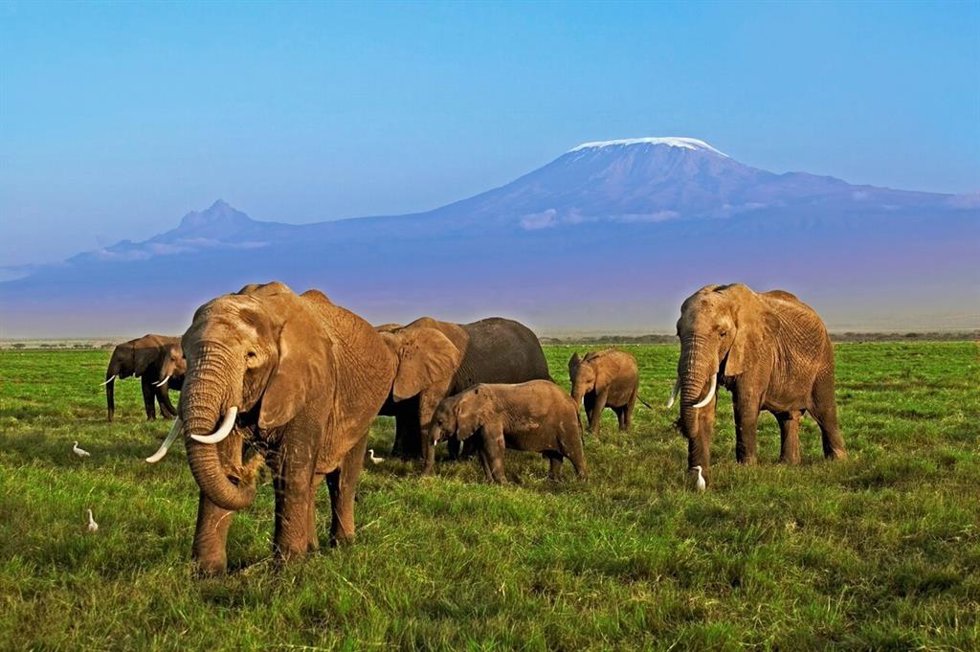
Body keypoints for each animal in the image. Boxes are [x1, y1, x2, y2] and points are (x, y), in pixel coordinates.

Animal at [144, 282, 395, 575]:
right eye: (185, 355)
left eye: (250, 356)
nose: (245, 472)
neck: (263, 306)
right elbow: (221, 454)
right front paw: (207, 574)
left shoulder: (312, 384)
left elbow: (291, 465)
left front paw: (287, 571)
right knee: (313, 480)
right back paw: (312, 549)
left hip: (364, 408)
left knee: (343, 477)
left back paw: (342, 546)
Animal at [429, 380, 587, 483]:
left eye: (440, 422)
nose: (427, 476)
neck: (460, 398)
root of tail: (572, 401)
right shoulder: (481, 423)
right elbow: (483, 450)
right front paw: (490, 483)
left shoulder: (492, 418)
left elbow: (494, 447)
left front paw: (504, 485)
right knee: (555, 455)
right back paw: (553, 481)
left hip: (566, 423)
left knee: (573, 451)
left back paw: (581, 482)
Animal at [671, 283, 847, 487]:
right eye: (678, 334)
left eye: (722, 334)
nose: (678, 425)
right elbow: (705, 405)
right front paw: (696, 477)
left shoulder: (758, 350)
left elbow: (745, 403)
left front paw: (745, 470)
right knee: (787, 417)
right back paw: (788, 464)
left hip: (824, 360)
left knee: (825, 411)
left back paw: (838, 462)